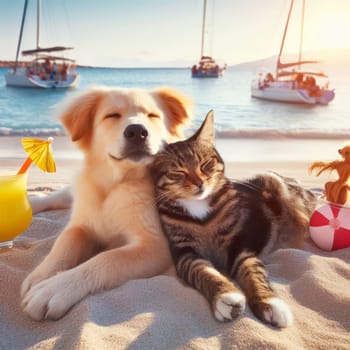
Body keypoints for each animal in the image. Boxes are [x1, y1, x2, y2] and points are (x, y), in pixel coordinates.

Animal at [21, 85, 191, 320]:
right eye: (112, 116)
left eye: (153, 116)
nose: (137, 132)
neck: (116, 184)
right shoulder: (82, 225)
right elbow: (64, 244)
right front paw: (41, 275)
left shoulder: (157, 246)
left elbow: (107, 258)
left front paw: (54, 287)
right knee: (60, 196)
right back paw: (32, 203)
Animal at [150, 111, 318, 328]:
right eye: (178, 172)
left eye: (206, 164)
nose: (199, 183)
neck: (200, 211)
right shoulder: (184, 252)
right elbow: (203, 271)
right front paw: (224, 295)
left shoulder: (240, 246)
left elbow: (253, 271)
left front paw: (269, 301)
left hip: (278, 186)